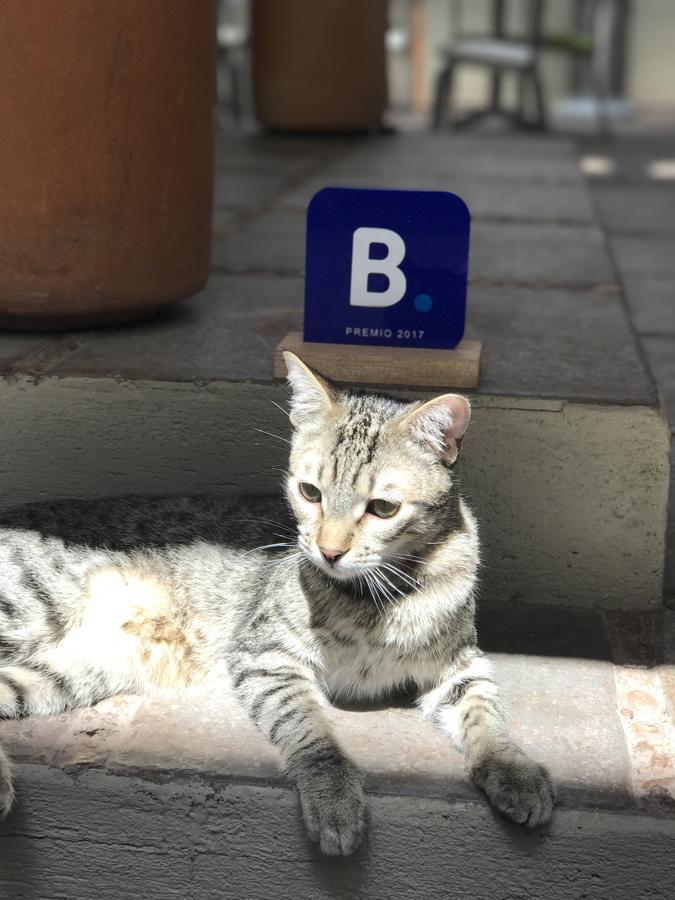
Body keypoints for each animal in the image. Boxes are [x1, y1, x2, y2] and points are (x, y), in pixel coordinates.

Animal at [0, 354, 556, 856]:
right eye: (309, 491)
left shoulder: (461, 665)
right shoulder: (265, 657)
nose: (329, 551)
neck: (380, 598)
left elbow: (486, 715)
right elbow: (312, 731)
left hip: (74, 670)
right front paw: (334, 797)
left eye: (382, 508)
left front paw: (515, 769)